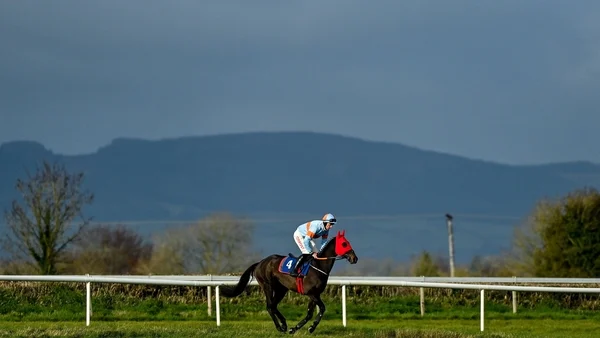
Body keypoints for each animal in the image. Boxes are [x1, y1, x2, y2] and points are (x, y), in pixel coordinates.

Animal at [221, 231, 358, 334]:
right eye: (344, 244)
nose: (354, 258)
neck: (318, 266)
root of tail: (260, 263)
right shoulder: (311, 293)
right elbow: (322, 308)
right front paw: (311, 327)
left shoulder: (315, 294)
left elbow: (309, 313)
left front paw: (295, 329)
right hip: (267, 285)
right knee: (270, 306)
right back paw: (280, 327)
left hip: (281, 289)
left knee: (274, 306)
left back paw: (284, 325)